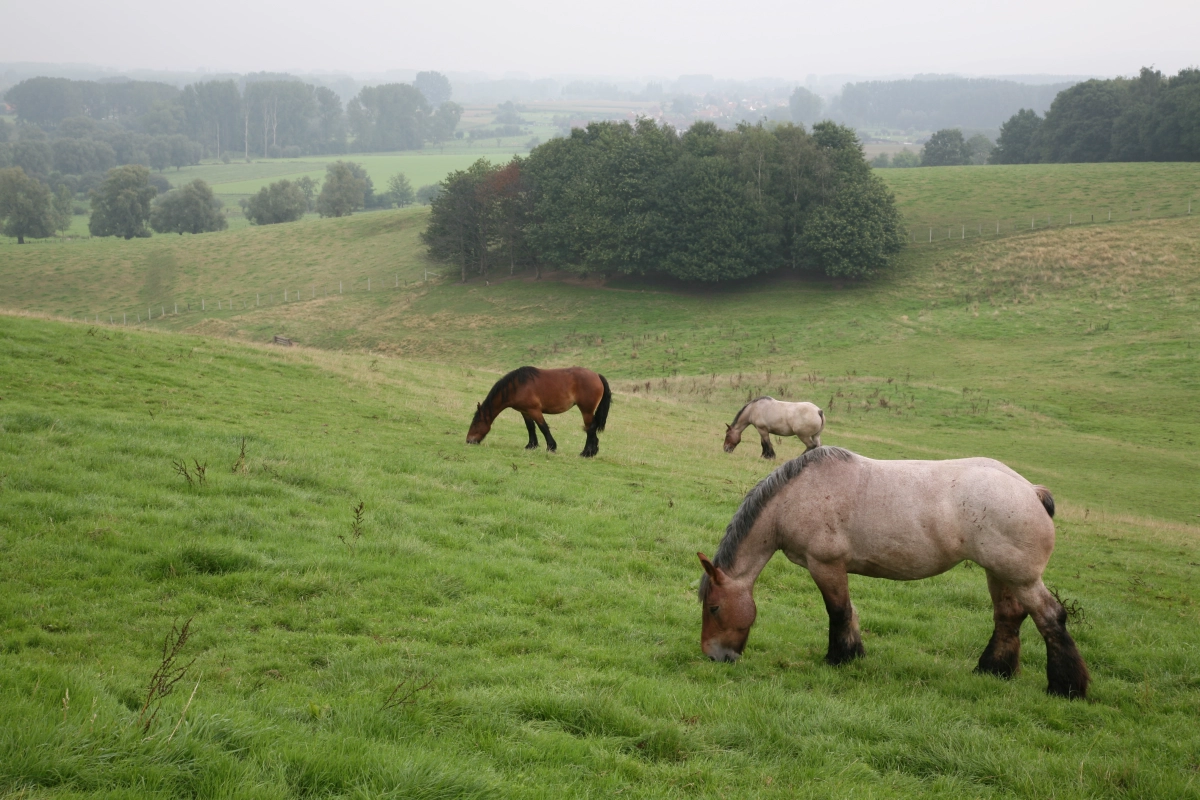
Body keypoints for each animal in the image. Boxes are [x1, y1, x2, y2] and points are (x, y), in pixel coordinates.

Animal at [460, 367, 609, 455]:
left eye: (475, 424)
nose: (468, 440)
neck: (518, 385)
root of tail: (597, 375)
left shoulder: (535, 410)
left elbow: (543, 427)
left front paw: (551, 447)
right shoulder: (525, 412)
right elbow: (530, 427)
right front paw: (531, 445)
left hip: (586, 411)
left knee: (590, 428)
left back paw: (587, 452)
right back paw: (592, 451)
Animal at [700, 448, 1094, 695]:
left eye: (714, 607)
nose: (713, 656)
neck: (796, 496)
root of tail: (1030, 489)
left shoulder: (825, 565)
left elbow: (838, 611)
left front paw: (837, 658)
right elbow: (850, 612)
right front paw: (854, 653)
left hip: (1021, 577)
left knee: (1050, 617)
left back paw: (1066, 687)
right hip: (999, 573)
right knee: (1008, 617)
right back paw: (992, 670)